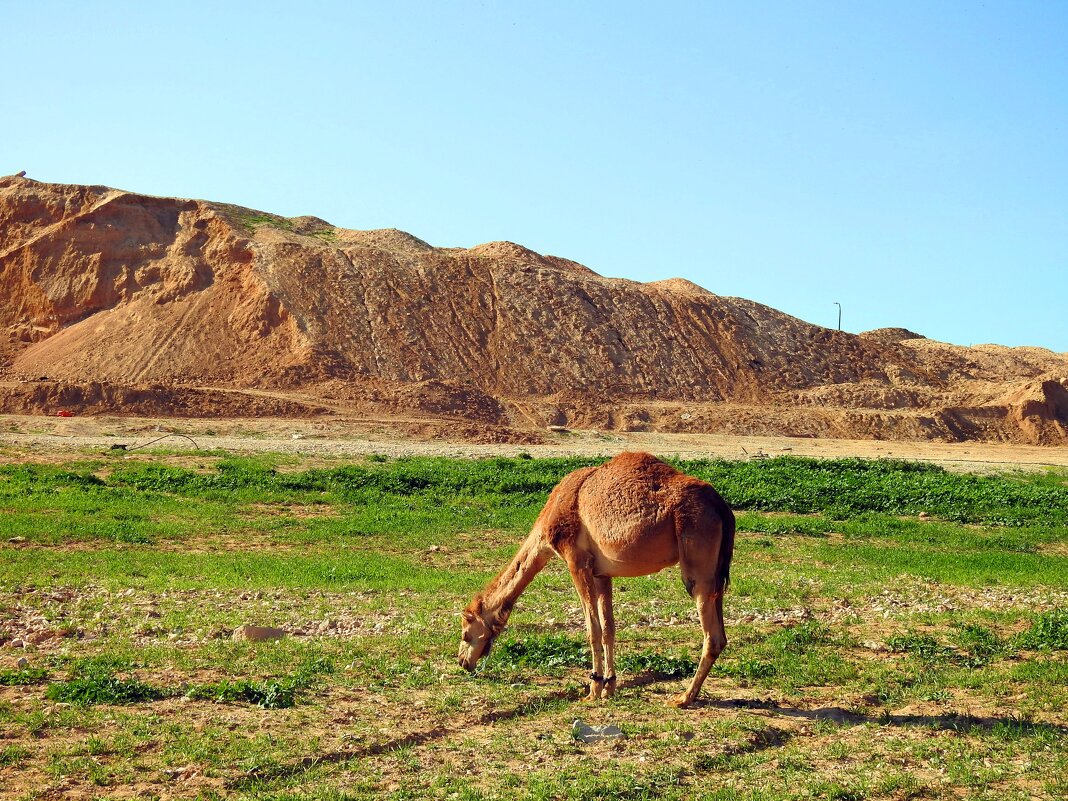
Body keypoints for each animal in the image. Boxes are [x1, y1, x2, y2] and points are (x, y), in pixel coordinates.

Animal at [459, 452, 734, 709]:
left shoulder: (576, 560)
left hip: (696, 559)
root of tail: (722, 508)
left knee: (711, 634)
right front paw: (609, 685)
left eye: (465, 633)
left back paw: (684, 698)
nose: (462, 661)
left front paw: (593, 689)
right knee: (720, 630)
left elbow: (592, 628)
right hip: (717, 572)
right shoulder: (602, 573)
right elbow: (609, 628)